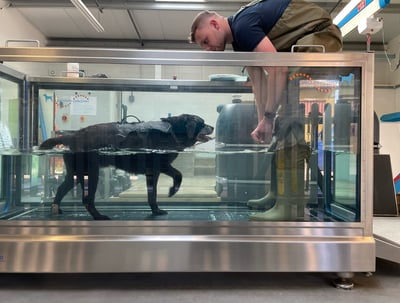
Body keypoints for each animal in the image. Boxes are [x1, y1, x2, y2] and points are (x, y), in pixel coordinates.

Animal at [40, 114, 214, 221]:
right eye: (202, 123)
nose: (212, 127)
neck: (174, 131)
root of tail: (72, 136)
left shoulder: (153, 172)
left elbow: (152, 195)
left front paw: (156, 211)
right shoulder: (161, 165)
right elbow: (178, 175)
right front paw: (172, 191)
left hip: (77, 174)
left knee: (62, 188)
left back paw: (56, 209)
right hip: (92, 173)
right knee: (87, 200)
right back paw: (99, 216)